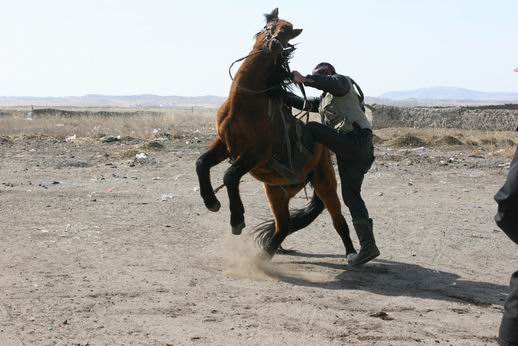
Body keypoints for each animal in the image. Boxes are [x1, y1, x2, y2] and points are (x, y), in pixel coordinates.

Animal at [197, 7, 360, 260]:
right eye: (268, 27)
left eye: (286, 32)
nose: (270, 43)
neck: (244, 104)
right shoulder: (224, 144)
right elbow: (202, 163)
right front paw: (211, 201)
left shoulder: (257, 155)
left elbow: (230, 176)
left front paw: (237, 220)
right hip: (276, 191)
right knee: (284, 226)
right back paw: (264, 255)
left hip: (324, 185)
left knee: (339, 221)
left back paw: (353, 253)